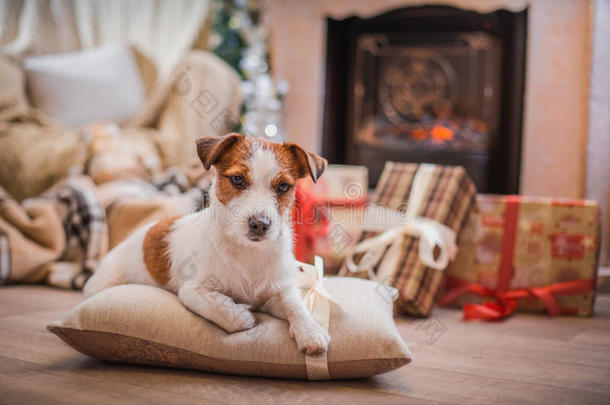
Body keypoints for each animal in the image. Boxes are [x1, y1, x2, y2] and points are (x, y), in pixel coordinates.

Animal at [83, 133, 330, 354]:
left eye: (283, 187)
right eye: (237, 180)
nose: (260, 224)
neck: (246, 251)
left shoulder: (277, 291)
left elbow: (295, 306)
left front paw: (310, 331)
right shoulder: (192, 290)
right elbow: (218, 307)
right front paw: (241, 315)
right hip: (106, 282)